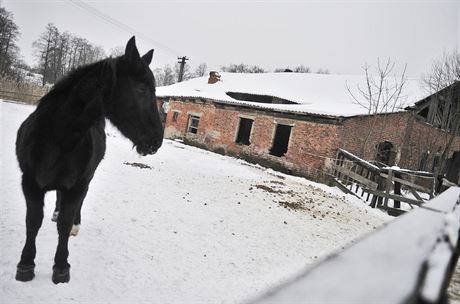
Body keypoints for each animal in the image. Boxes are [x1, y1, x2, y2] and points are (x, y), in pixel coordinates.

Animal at [14, 36, 164, 284]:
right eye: (142, 89)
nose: (157, 140)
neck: (58, 137)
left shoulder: (77, 186)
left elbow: (64, 225)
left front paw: (61, 268)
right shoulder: (30, 183)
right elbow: (33, 221)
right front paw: (25, 265)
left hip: (86, 179)